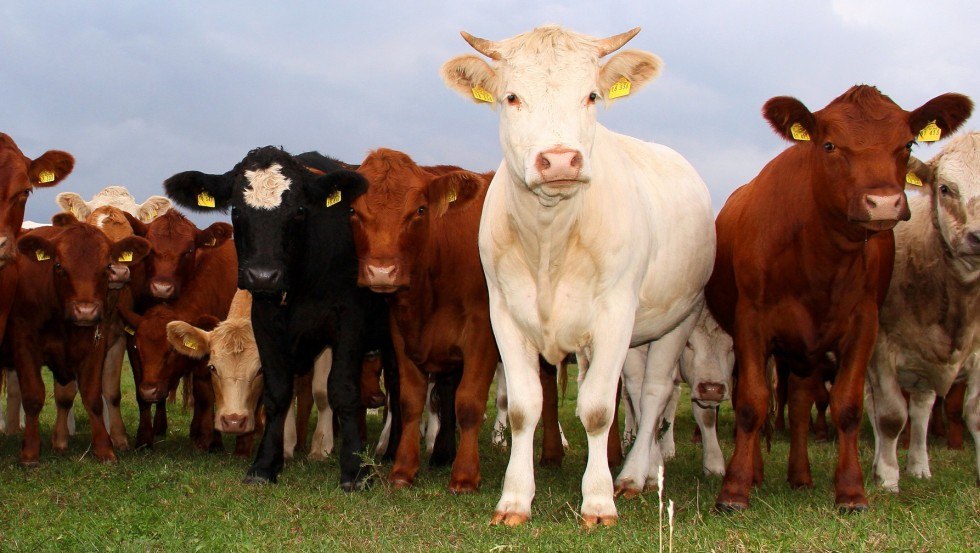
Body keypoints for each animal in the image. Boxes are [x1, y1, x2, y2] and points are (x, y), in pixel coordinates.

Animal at [4, 213, 149, 464]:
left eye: (106, 266)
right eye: (58, 266)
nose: (85, 311)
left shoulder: (96, 344)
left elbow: (93, 396)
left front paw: (105, 449)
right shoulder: (23, 343)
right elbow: (33, 396)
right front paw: (30, 452)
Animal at [164, 146, 386, 488]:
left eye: (298, 210)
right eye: (236, 210)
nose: (263, 276)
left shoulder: (348, 321)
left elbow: (340, 391)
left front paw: (353, 468)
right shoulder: (266, 322)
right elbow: (279, 392)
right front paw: (268, 462)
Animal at [442, 27, 712, 528]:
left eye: (591, 95)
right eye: (512, 97)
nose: (561, 160)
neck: (551, 239)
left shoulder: (615, 316)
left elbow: (599, 408)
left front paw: (599, 500)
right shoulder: (504, 315)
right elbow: (524, 407)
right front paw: (514, 498)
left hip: (677, 318)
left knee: (654, 394)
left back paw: (634, 475)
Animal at [864, 132, 980, 490]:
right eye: (944, 188)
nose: (978, 237)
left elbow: (975, 414)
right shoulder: (881, 349)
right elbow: (890, 416)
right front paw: (888, 478)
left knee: (921, 409)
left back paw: (918, 465)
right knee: (878, 409)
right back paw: (882, 464)